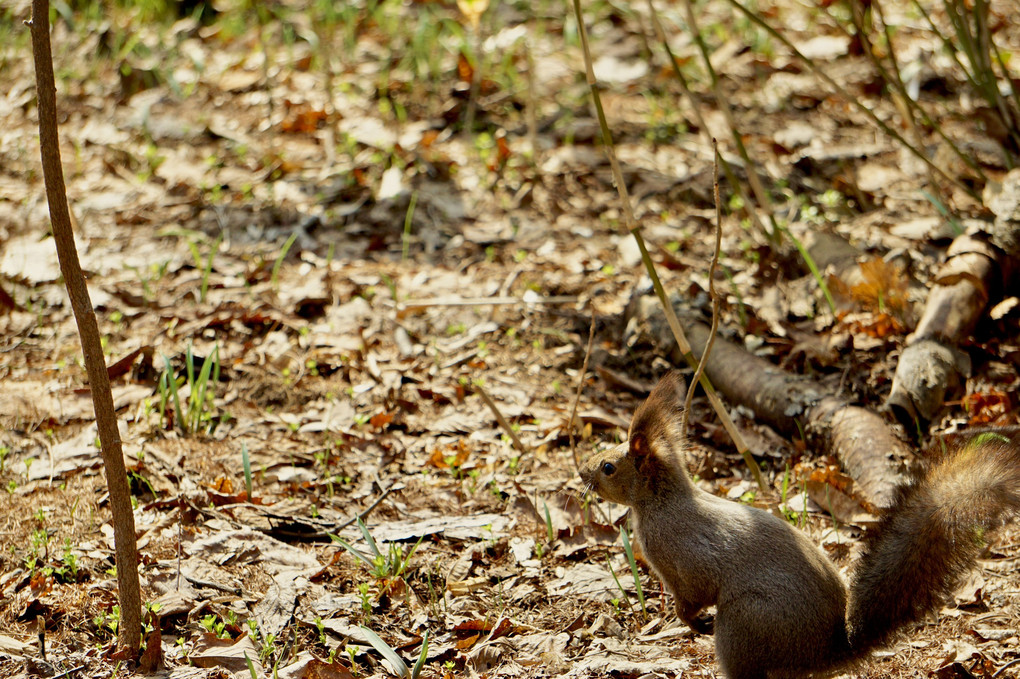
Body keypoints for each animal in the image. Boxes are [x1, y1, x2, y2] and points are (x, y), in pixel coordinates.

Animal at [583, 371, 1020, 676]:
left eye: (608, 467)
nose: (583, 473)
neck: (662, 503)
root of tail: (824, 653)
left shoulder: (684, 561)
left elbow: (691, 597)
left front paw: (691, 621)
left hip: (746, 619)